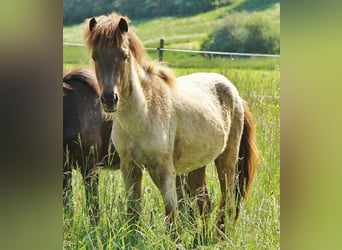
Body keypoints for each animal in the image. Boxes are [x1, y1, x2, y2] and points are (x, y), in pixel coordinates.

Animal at [84, 13, 258, 240]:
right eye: (95, 56)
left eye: (123, 56)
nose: (109, 100)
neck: (144, 112)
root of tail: (235, 94)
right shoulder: (130, 167)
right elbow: (133, 212)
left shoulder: (164, 169)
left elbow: (171, 213)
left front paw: (176, 241)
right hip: (197, 164)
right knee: (204, 202)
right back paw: (200, 241)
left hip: (227, 160)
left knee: (227, 202)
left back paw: (221, 238)